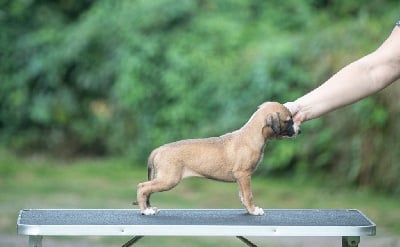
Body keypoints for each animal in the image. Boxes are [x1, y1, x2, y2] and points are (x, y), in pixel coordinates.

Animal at [136, 101, 298, 215]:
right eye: (288, 121)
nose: (299, 130)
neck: (251, 135)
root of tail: (158, 150)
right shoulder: (244, 174)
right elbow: (249, 195)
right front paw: (253, 210)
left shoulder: (240, 178)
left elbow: (242, 195)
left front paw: (247, 208)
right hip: (169, 179)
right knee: (143, 187)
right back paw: (146, 210)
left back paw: (149, 208)